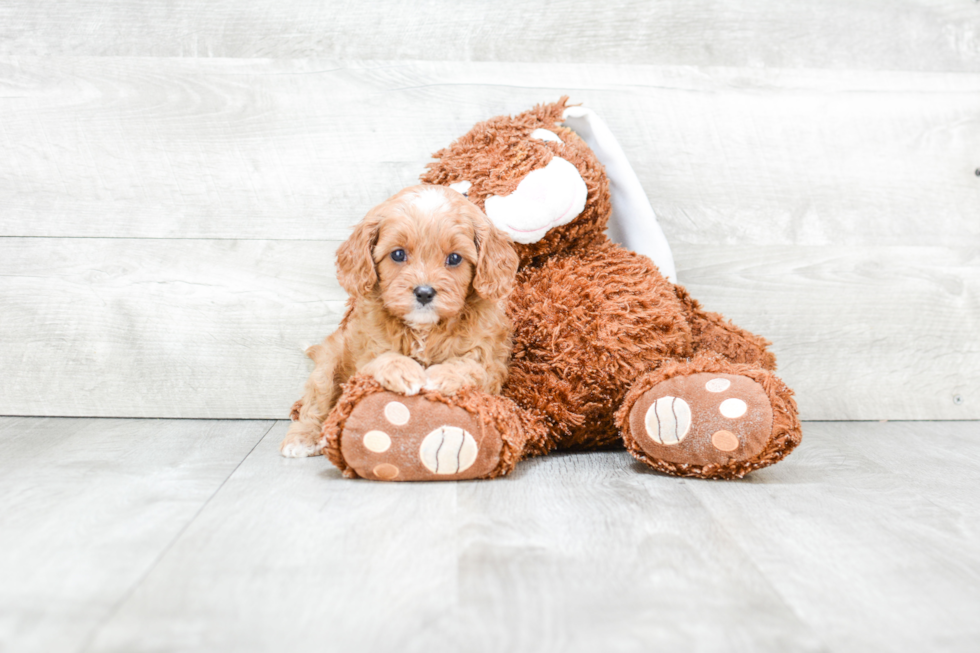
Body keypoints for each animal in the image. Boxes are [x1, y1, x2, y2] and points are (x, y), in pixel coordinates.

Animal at [280, 183, 520, 456]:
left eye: (455, 258)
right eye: (397, 254)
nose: (424, 292)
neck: (424, 328)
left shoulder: (490, 359)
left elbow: (470, 366)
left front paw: (440, 375)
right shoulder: (367, 350)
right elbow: (383, 358)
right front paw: (404, 371)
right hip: (328, 362)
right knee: (315, 401)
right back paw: (302, 437)